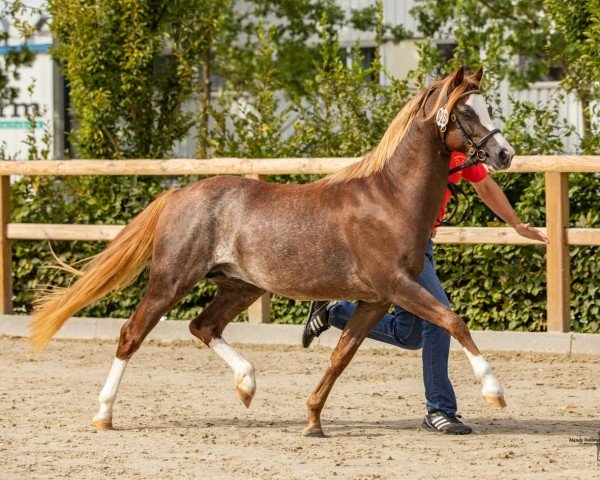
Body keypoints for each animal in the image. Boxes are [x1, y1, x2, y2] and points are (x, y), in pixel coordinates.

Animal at [30, 65, 512, 436]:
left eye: (488, 107)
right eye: (466, 110)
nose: (504, 153)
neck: (390, 198)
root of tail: (178, 195)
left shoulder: (376, 300)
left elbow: (341, 356)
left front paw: (313, 420)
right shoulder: (396, 286)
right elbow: (453, 320)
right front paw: (494, 392)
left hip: (240, 286)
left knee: (203, 326)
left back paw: (247, 384)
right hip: (171, 280)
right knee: (132, 333)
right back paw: (104, 415)